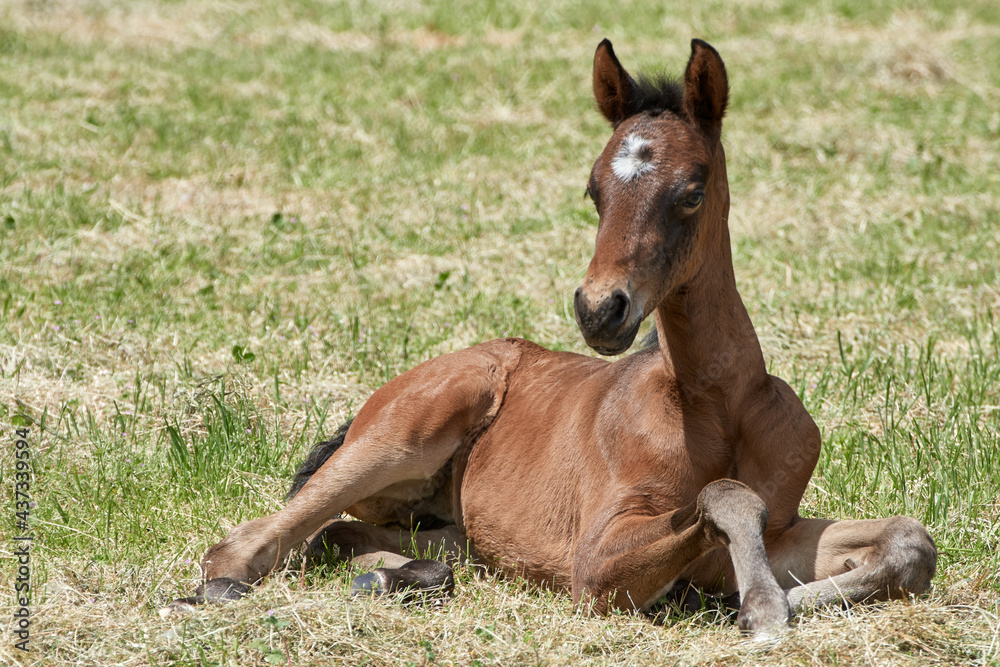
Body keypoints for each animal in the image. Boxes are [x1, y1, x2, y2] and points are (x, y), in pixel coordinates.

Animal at [168, 38, 937, 635]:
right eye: (595, 190)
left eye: (691, 190)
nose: (601, 310)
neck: (718, 402)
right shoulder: (594, 564)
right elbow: (721, 494)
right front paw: (763, 609)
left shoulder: (781, 526)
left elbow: (909, 539)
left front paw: (763, 599)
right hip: (402, 434)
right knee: (249, 545)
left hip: (454, 527)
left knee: (349, 536)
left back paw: (393, 577)